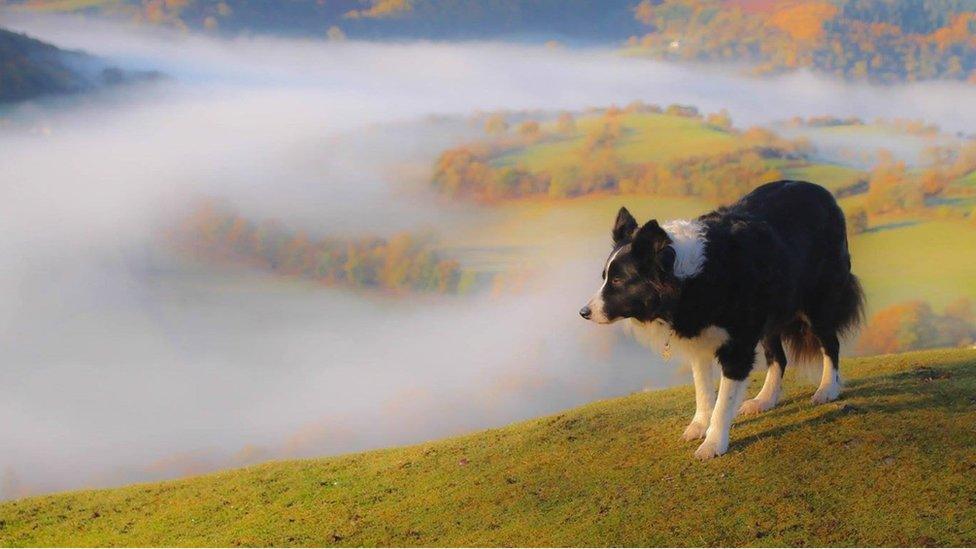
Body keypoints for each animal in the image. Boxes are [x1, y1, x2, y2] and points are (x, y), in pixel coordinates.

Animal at [580, 180, 860, 458]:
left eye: (618, 280)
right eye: (605, 277)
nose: (584, 312)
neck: (689, 279)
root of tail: (821, 191)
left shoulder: (737, 348)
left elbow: (724, 402)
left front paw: (713, 443)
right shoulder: (699, 340)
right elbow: (703, 390)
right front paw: (699, 426)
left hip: (817, 305)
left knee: (830, 344)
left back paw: (827, 389)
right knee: (778, 358)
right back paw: (765, 399)